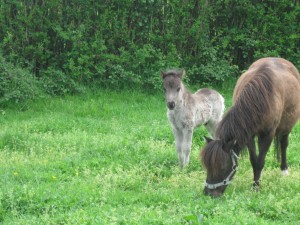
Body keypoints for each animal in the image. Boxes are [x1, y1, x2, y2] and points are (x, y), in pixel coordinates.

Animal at [199, 57, 300, 197]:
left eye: (222, 167)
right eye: (207, 166)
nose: (209, 193)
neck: (261, 97)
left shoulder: (267, 135)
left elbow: (260, 161)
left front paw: (256, 187)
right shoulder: (249, 135)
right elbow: (254, 160)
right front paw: (255, 183)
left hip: (287, 126)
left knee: (284, 144)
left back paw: (284, 170)